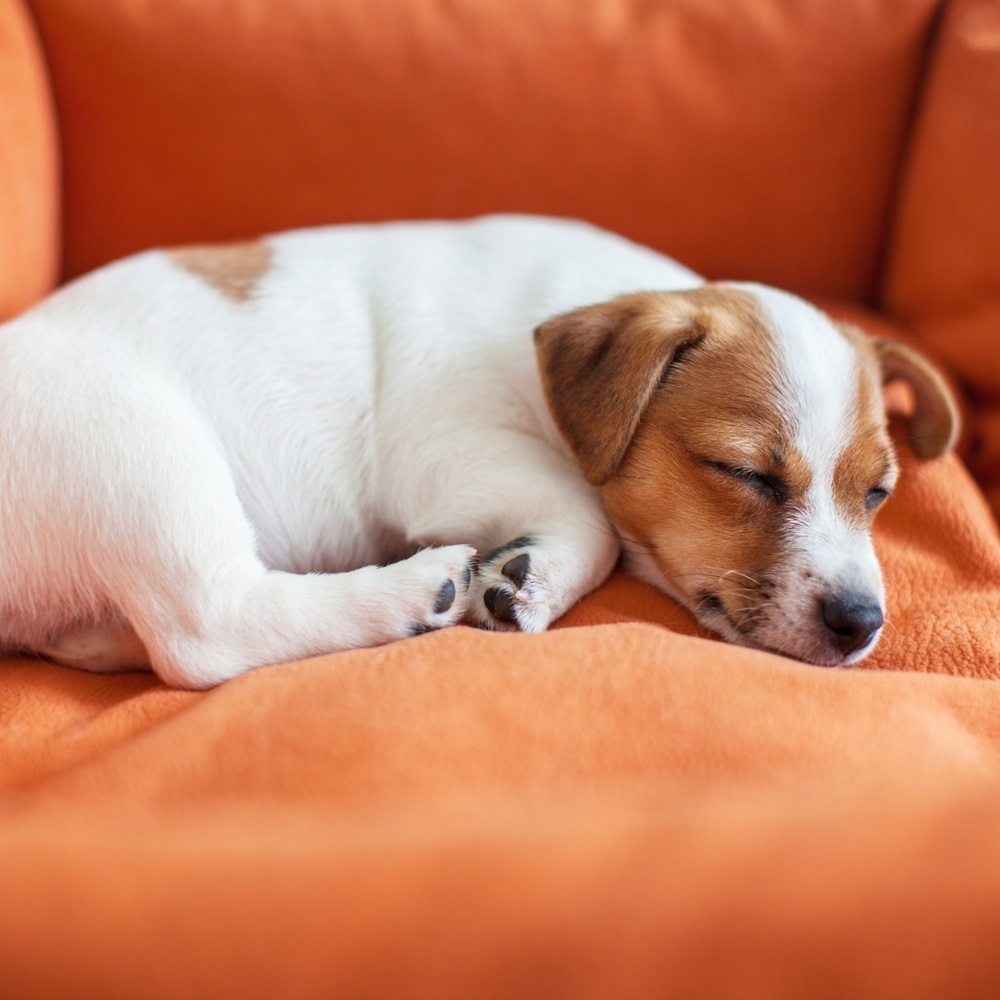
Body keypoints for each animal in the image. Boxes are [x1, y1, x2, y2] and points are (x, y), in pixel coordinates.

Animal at [0, 216, 956, 692]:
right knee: (207, 630)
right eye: (745, 473)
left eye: (879, 494)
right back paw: (409, 591)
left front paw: (528, 576)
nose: (862, 622)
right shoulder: (444, 451)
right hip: (134, 443)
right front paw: (527, 574)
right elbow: (588, 515)